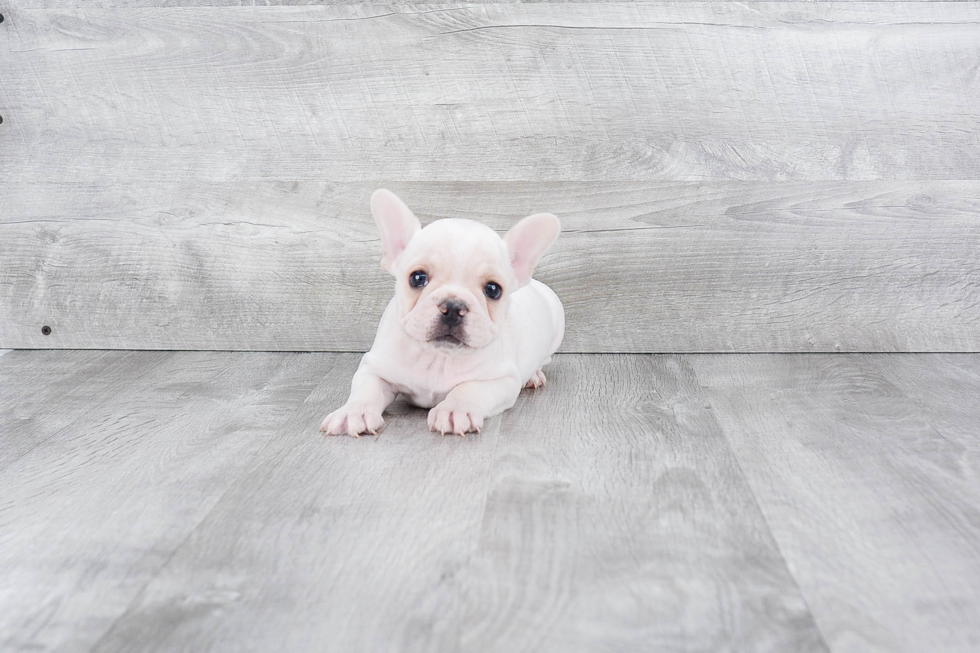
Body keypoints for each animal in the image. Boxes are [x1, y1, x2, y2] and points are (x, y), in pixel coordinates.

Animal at [322, 188, 568, 436]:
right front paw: (354, 412)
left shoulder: (502, 380)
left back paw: (533, 375)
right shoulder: (374, 368)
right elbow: (366, 389)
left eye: (493, 289)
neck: (438, 357)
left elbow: (469, 388)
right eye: (417, 278)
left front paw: (455, 409)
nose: (453, 307)